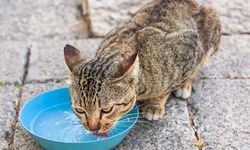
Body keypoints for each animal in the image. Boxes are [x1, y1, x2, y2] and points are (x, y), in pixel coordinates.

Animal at [64, 0, 221, 134]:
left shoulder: (188, 47)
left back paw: (184, 85)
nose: (93, 129)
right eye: (79, 110)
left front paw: (155, 105)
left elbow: (165, 90)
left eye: (107, 110)